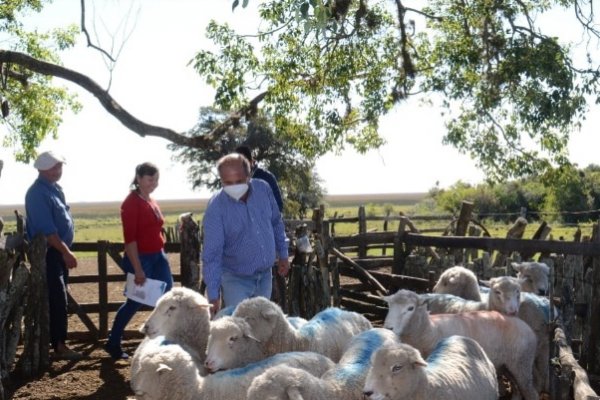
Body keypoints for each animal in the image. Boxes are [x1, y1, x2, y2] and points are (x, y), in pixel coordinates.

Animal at [384, 290, 540, 400]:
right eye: (389, 306)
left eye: (410, 308)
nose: (388, 328)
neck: (430, 329)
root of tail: (525, 325)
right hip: (509, 365)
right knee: (517, 388)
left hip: (522, 362)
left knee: (531, 392)